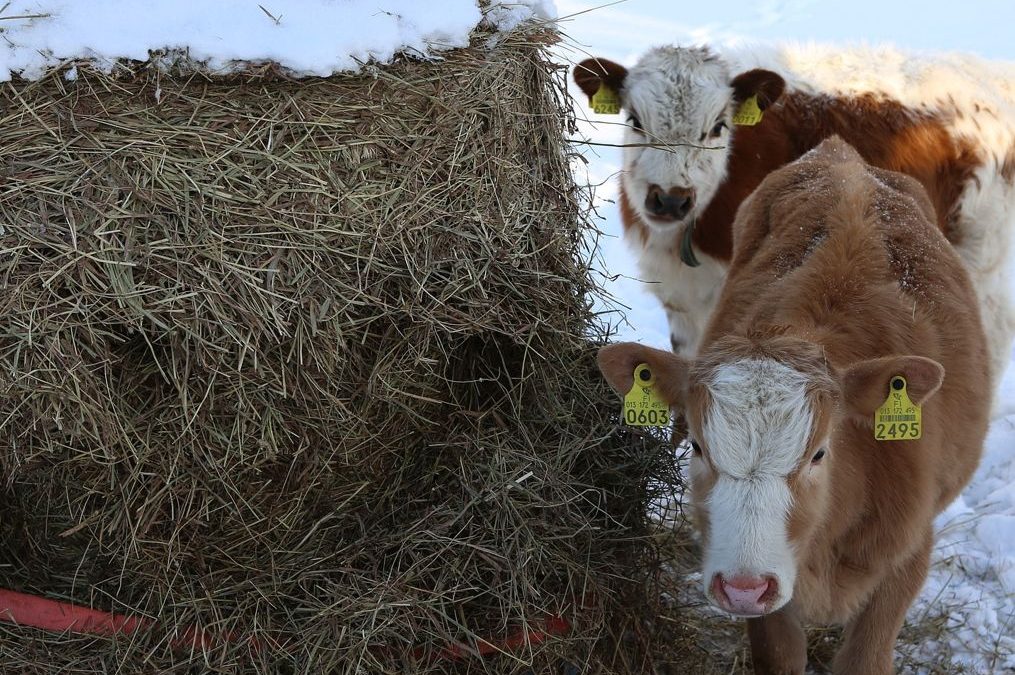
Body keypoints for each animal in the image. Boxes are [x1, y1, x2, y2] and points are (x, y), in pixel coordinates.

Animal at [596, 138, 986, 673]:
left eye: (819, 453)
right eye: (697, 448)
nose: (743, 587)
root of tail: (843, 156)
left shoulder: (908, 555)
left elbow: (864, 658)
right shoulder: (771, 591)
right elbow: (779, 655)